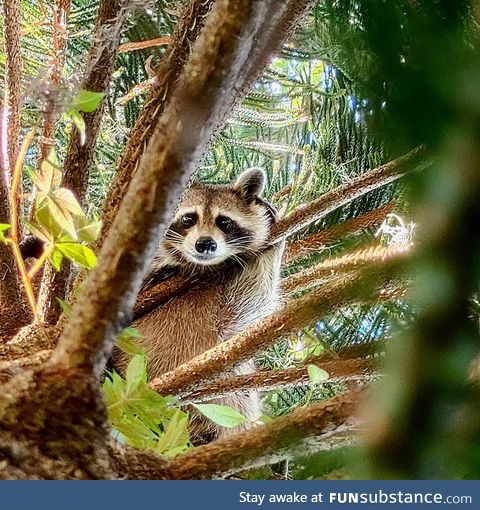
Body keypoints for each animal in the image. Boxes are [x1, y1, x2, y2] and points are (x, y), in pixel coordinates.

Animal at [112, 167, 284, 442]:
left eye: (224, 222)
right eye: (188, 219)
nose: (205, 244)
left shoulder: (227, 313)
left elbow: (253, 294)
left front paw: (273, 243)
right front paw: (159, 272)